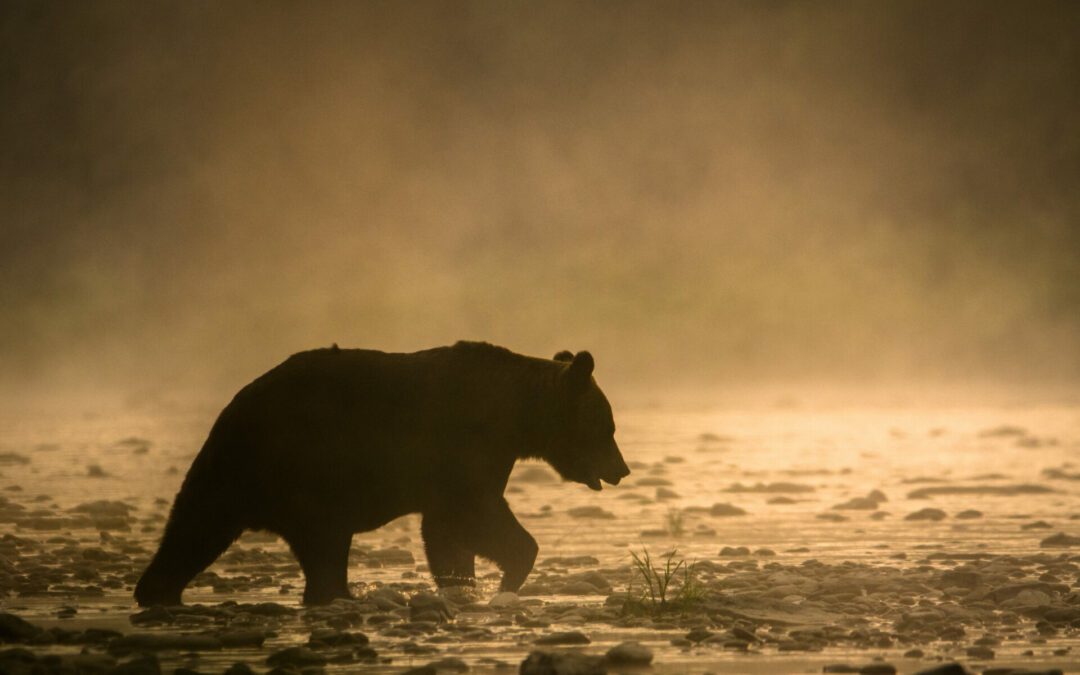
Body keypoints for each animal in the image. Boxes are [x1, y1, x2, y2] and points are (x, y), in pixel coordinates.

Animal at [132, 341, 630, 604]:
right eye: (607, 426)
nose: (622, 469)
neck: (513, 415)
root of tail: (235, 406)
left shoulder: (460, 467)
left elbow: (447, 532)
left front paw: (463, 582)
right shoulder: (464, 448)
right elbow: (474, 515)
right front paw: (507, 577)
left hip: (235, 473)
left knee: (194, 527)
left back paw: (157, 590)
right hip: (306, 471)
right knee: (321, 545)